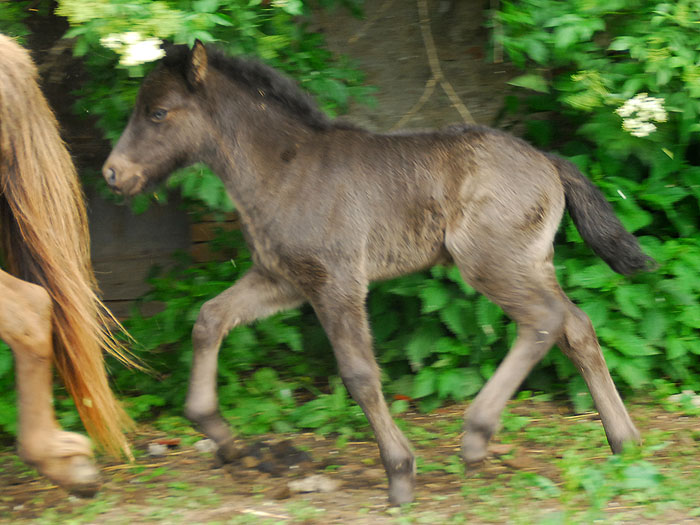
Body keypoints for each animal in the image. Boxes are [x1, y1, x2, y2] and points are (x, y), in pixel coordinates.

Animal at [103, 41, 653, 505]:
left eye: (157, 112)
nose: (112, 173)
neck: (285, 169)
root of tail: (548, 160)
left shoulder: (336, 280)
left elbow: (360, 373)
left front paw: (400, 472)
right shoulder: (282, 279)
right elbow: (210, 318)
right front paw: (216, 431)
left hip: (490, 262)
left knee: (544, 320)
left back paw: (478, 435)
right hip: (529, 262)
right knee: (575, 325)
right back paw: (623, 441)